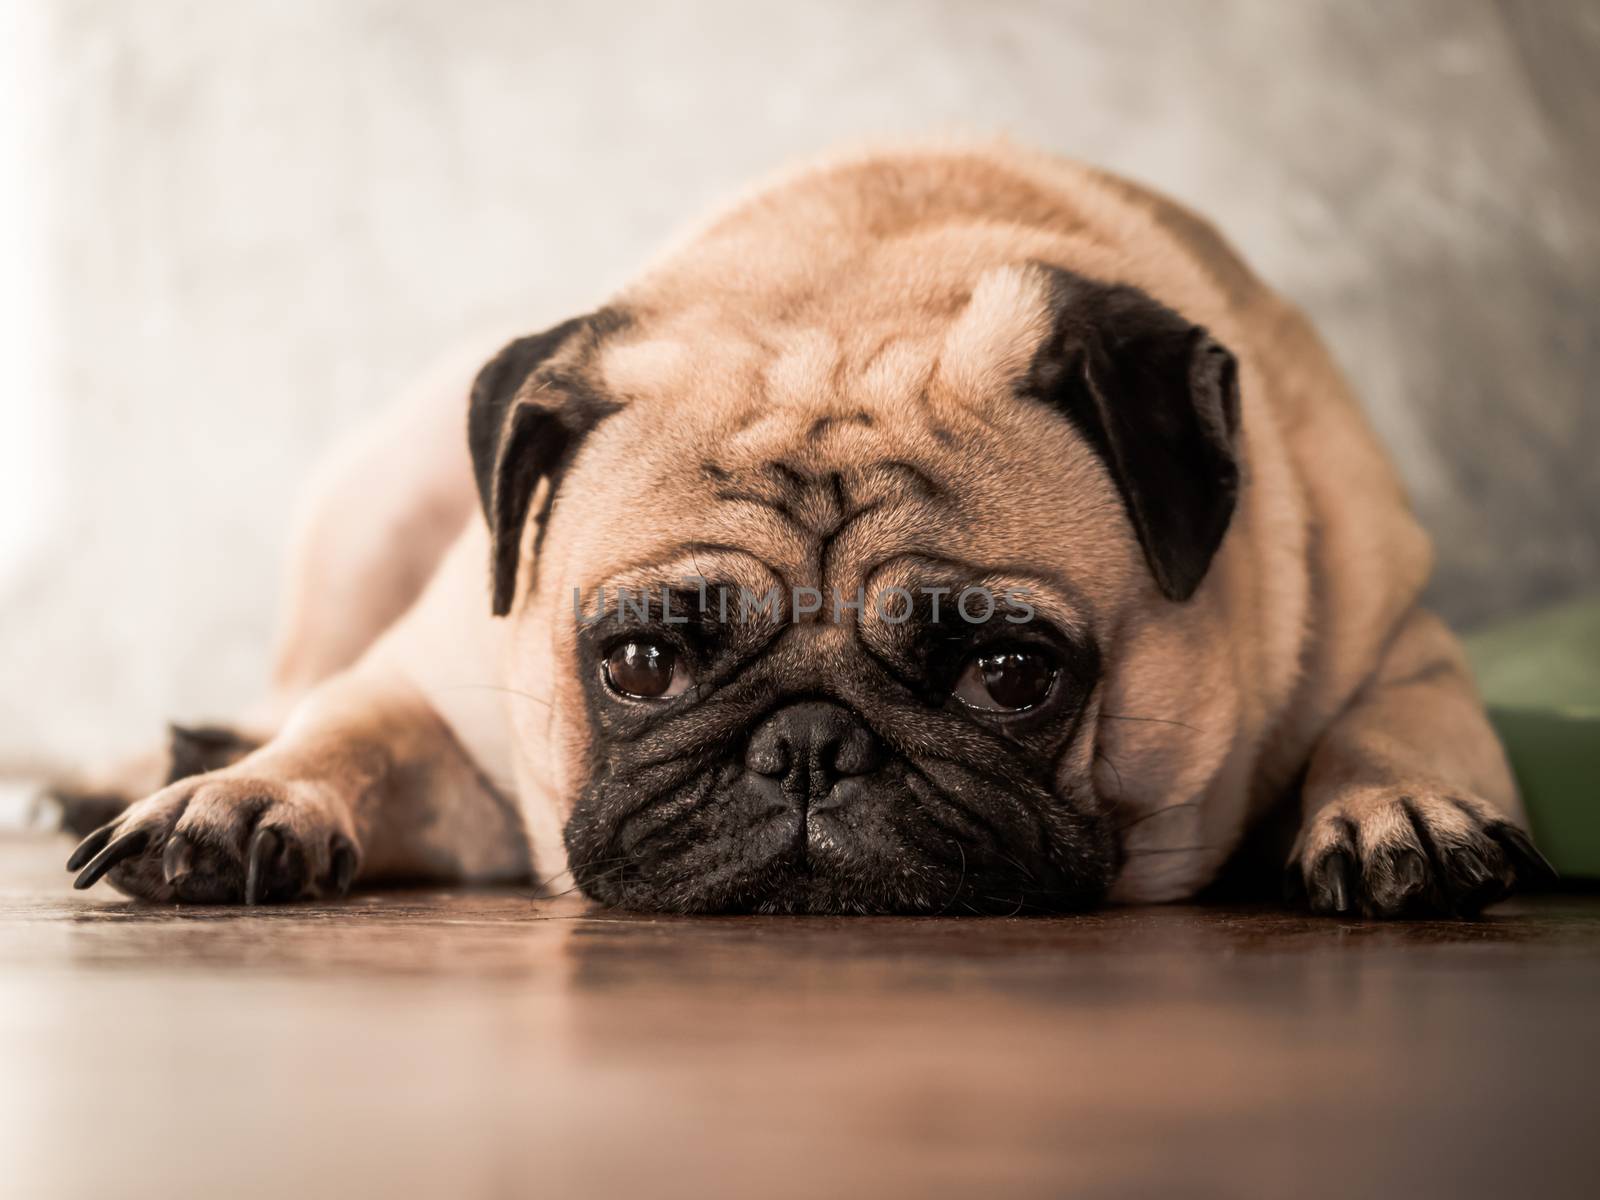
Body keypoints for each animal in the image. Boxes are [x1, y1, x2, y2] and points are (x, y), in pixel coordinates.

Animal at [62, 138, 1548, 921]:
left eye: (1009, 674)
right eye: (639, 664)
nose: (809, 747)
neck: (857, 283)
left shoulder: (1397, 637)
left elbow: (1399, 720)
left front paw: (1399, 809)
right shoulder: (431, 675)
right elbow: (349, 731)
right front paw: (245, 798)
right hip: (371, 511)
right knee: (290, 684)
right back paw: (169, 757)